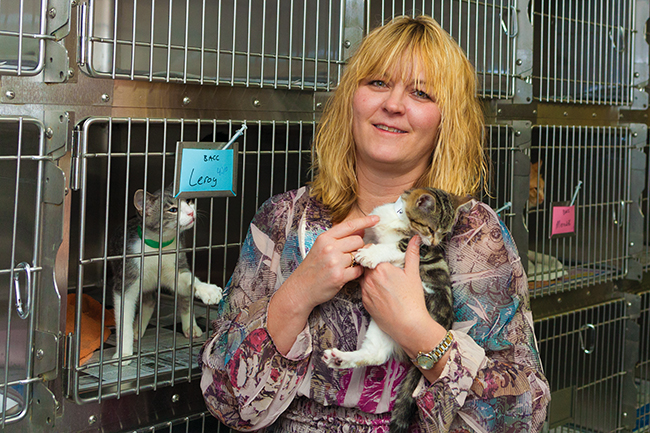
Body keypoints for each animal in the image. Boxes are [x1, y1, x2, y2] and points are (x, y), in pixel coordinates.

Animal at [109, 184, 223, 362]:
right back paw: (137, 328)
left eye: (188, 201)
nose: (191, 213)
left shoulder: (175, 264)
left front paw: (207, 290)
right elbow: (124, 314)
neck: (158, 248)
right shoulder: (128, 274)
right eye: (173, 210)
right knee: (149, 300)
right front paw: (124, 353)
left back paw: (191, 326)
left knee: (181, 297)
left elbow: (188, 281)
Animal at [318, 186, 460, 432]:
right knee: (376, 354)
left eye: (444, 233)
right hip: (384, 325)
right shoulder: (374, 231)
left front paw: (370, 254)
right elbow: (364, 239)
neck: (399, 219)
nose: (434, 243)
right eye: (431, 229)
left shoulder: (415, 249)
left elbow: (391, 247)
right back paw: (340, 359)